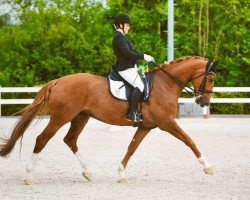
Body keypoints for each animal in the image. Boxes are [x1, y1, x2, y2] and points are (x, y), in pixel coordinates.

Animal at [0, 56, 217, 184]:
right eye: (211, 78)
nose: (203, 101)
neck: (165, 85)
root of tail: (58, 81)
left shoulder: (146, 126)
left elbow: (132, 147)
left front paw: (121, 173)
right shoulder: (167, 123)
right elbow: (189, 141)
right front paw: (207, 167)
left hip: (81, 117)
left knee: (70, 140)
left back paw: (88, 172)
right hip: (61, 117)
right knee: (42, 139)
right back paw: (28, 175)